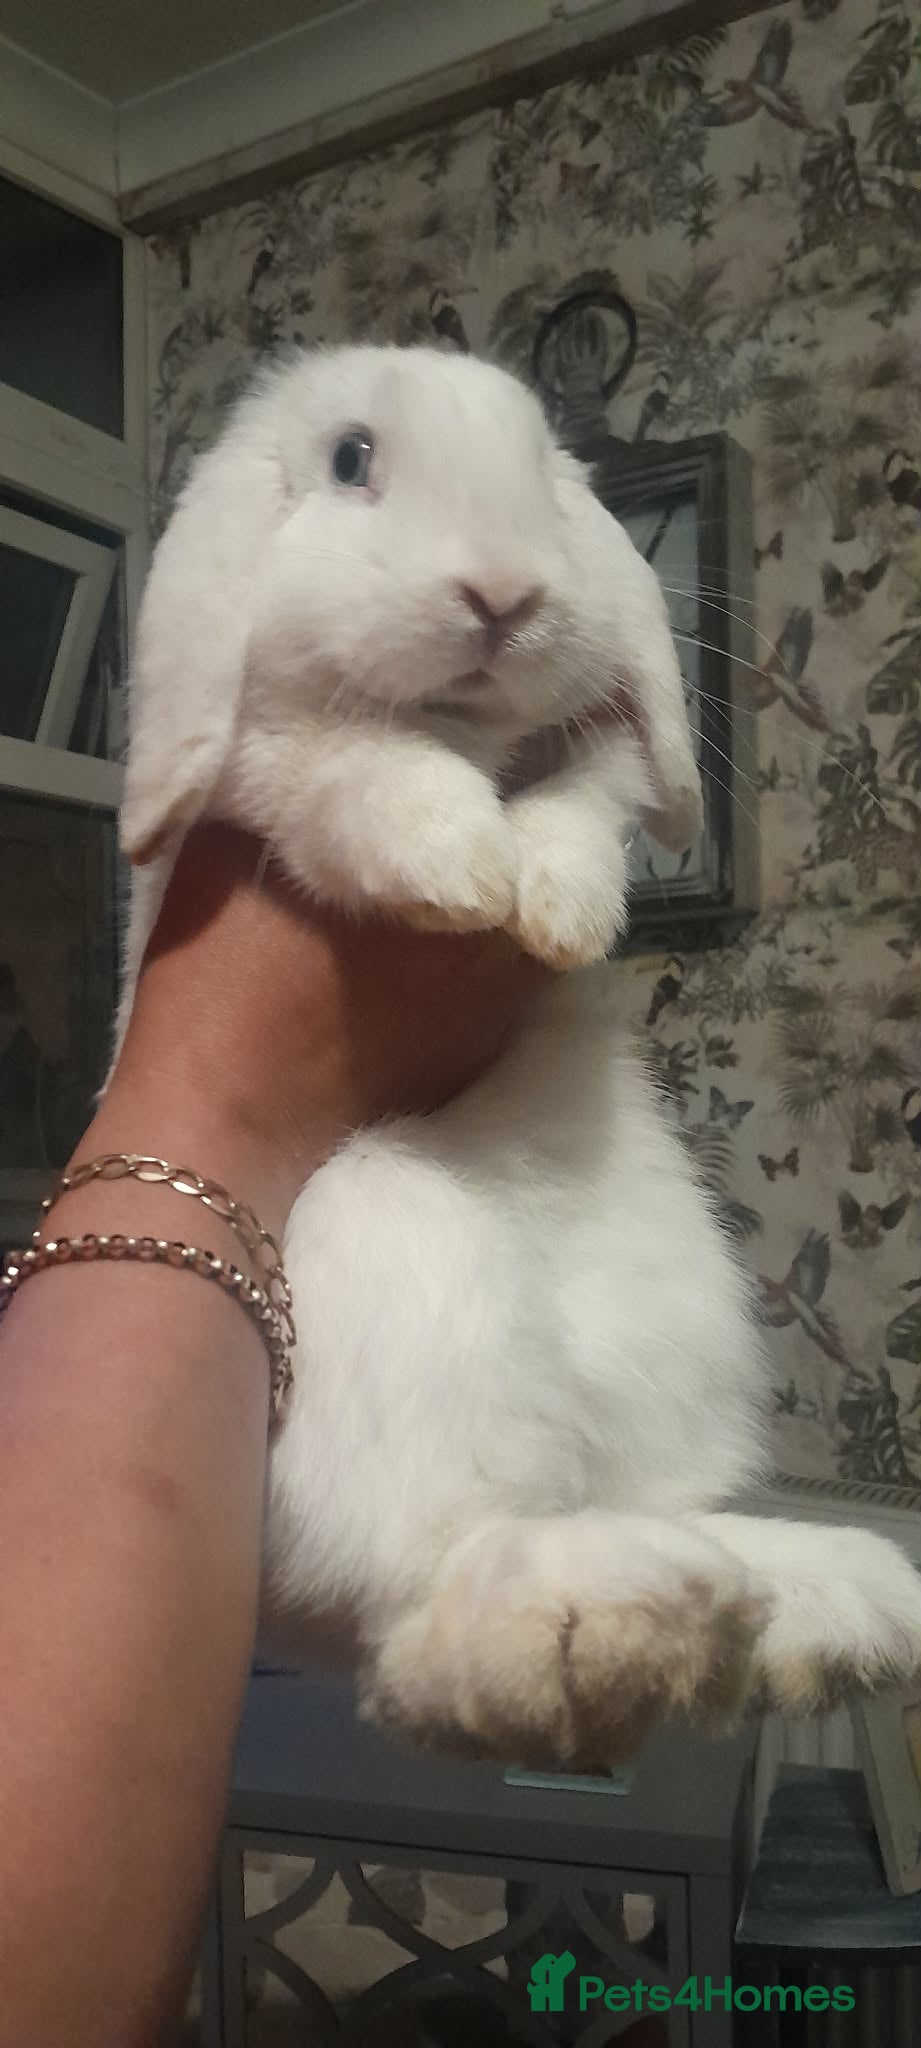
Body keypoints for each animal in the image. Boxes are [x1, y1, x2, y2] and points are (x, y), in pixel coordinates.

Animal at [117, 344, 921, 1767]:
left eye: (549, 467)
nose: (504, 591)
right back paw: (611, 1614)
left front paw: (551, 899)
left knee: (640, 1510)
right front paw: (456, 865)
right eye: (350, 459)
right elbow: (331, 757)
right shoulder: (268, 767)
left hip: (673, 1344)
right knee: (417, 1618)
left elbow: (585, 802)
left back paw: (821, 1604)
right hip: (381, 1244)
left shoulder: (595, 761)